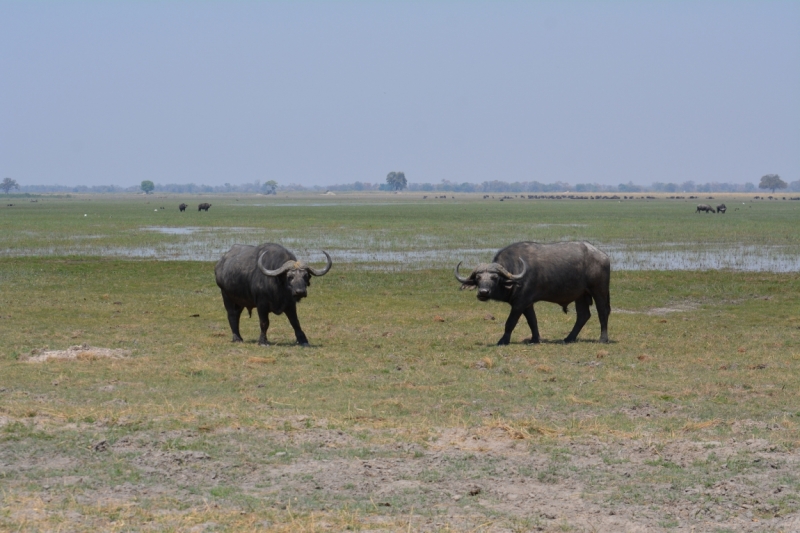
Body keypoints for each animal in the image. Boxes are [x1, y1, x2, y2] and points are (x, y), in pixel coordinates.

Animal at [456, 241, 612, 344]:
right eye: (478, 278)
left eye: (494, 278)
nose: (483, 292)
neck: (514, 273)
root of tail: (603, 256)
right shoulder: (527, 304)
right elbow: (532, 321)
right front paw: (535, 339)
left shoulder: (519, 303)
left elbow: (510, 322)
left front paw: (503, 340)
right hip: (580, 295)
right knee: (583, 315)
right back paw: (569, 338)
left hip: (599, 291)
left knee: (602, 312)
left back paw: (603, 339)